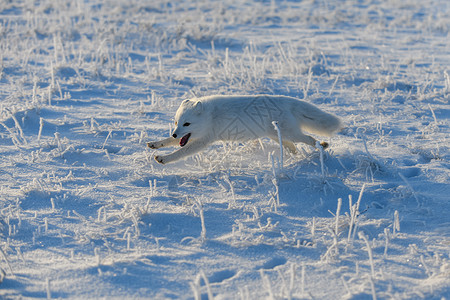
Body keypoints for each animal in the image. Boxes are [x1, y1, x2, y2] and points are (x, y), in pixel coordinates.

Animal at [148, 94, 342, 164]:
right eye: (176, 123)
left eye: (186, 124)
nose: (175, 133)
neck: (210, 116)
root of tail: (286, 100)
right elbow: (168, 142)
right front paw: (155, 144)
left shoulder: (203, 140)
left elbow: (180, 152)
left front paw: (164, 159)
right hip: (276, 135)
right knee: (292, 146)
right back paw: (293, 157)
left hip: (290, 133)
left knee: (308, 138)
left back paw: (322, 146)